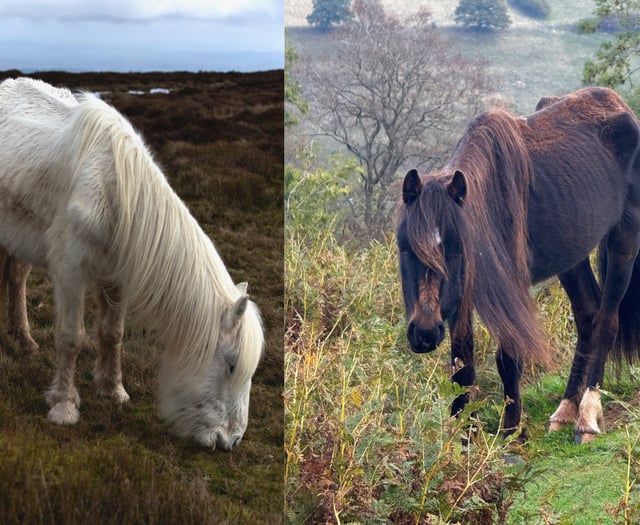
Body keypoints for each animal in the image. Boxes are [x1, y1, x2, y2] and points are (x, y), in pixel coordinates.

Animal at [0, 77, 264, 451]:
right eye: (231, 365)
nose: (231, 441)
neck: (115, 192)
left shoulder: (116, 276)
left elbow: (113, 333)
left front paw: (113, 391)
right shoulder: (70, 272)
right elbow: (71, 337)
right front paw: (64, 407)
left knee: (16, 276)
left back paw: (23, 341)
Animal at [396, 86, 640, 443]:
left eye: (456, 248)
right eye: (405, 248)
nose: (424, 333)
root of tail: (619, 105)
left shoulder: (511, 290)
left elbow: (508, 359)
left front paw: (510, 430)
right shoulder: (462, 293)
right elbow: (462, 362)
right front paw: (461, 431)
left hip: (624, 238)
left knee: (606, 322)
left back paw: (586, 417)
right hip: (572, 258)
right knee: (587, 318)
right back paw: (565, 411)